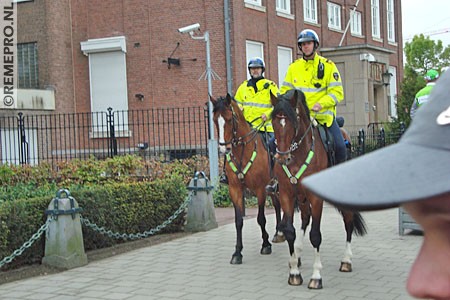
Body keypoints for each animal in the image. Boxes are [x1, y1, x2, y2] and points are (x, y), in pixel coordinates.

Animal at [210, 94, 282, 264]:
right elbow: (238, 221)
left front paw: (265, 244)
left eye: (230, 119)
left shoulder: (260, 189)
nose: (223, 148)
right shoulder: (235, 189)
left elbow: (261, 218)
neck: (244, 150)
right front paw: (237, 252)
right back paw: (278, 233)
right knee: (277, 206)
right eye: (215, 120)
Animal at [268, 90, 368, 290]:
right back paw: (297, 256)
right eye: (274, 121)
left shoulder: (315, 197)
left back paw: (346, 261)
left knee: (348, 221)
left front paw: (316, 277)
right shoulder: (287, 195)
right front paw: (294, 273)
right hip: (302, 198)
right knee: (305, 219)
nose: (282, 158)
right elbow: (290, 230)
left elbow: (315, 235)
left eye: (293, 121)